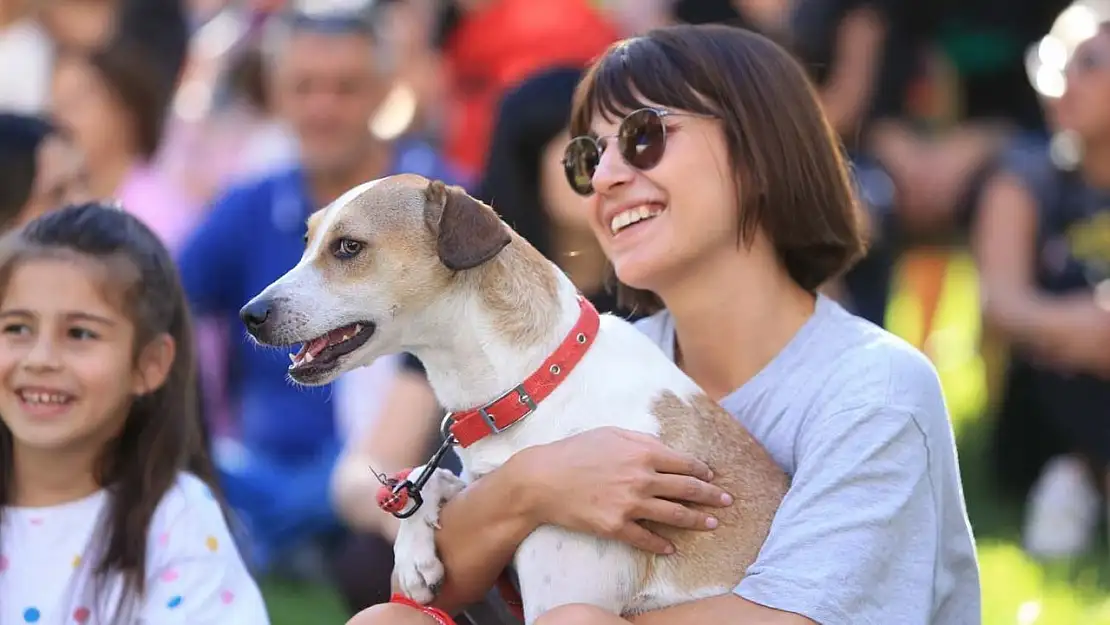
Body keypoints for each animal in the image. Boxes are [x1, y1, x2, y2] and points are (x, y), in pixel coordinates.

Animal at [240, 175, 790, 621]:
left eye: (349, 247)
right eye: (307, 242)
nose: (250, 315)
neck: (534, 385)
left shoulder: (562, 600)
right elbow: (429, 480)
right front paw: (414, 552)